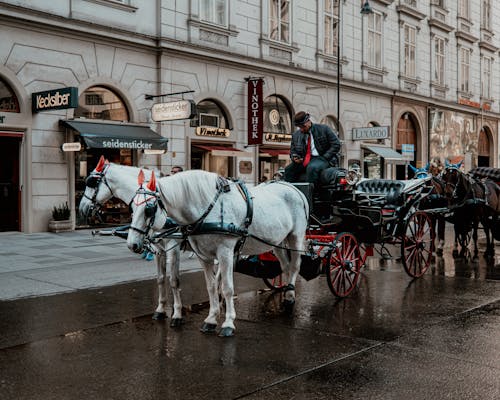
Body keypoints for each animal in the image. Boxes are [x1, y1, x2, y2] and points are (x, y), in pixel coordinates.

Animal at [79, 155, 185, 326]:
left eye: (92, 182)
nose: (81, 208)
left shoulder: (173, 246)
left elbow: (174, 281)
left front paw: (177, 315)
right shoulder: (158, 249)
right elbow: (161, 279)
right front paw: (160, 309)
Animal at [127, 169, 308, 338]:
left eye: (149, 209)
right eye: (132, 207)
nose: (132, 244)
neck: (208, 209)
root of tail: (292, 187)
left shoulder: (224, 252)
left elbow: (226, 287)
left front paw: (228, 323)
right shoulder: (202, 256)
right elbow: (211, 285)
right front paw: (211, 319)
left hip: (296, 236)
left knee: (295, 266)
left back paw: (290, 297)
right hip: (276, 241)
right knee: (285, 266)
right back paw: (287, 291)